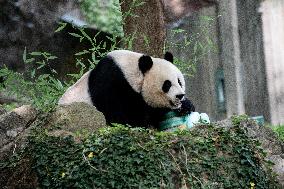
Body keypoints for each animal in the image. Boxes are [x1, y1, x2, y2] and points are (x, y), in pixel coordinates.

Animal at [58, 49, 194, 127]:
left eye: (179, 81)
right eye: (167, 84)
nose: (180, 95)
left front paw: (186, 106)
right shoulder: (112, 83)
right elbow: (121, 116)